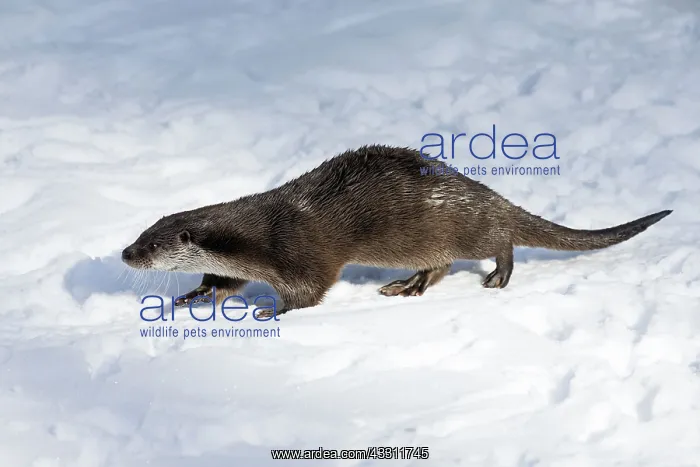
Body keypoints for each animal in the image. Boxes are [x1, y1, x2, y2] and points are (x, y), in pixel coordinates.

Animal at [121, 145, 672, 317]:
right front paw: (191, 297)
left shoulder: (299, 253)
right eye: (141, 234)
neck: (257, 234)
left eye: (151, 245)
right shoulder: (238, 262)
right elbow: (223, 282)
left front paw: (270, 308)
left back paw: (497, 276)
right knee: (441, 264)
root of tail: (479, 191)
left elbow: (309, 291)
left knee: (500, 239)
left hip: (464, 226)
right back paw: (406, 285)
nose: (126, 254)